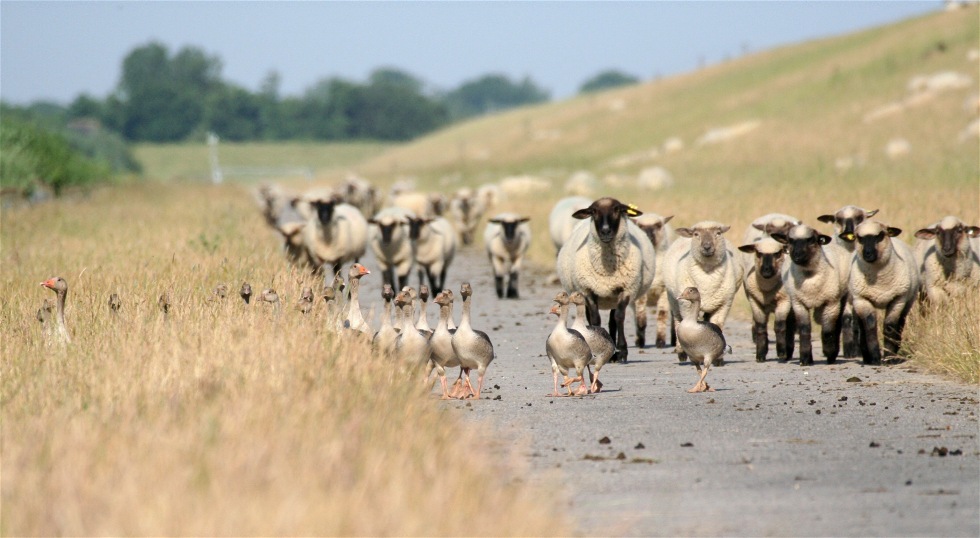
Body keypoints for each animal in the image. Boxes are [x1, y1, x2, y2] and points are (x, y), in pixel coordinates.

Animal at [632, 211, 676, 346]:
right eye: (640, 226)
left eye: (658, 225)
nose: (648, 236)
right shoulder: (641, 292)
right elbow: (640, 314)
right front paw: (641, 330)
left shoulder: (664, 290)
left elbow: (662, 315)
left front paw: (660, 341)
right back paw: (639, 340)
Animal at [660, 218, 744, 360]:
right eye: (696, 234)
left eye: (718, 233)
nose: (707, 247)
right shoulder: (685, 305)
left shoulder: (724, 304)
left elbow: (717, 325)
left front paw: (719, 358)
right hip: (673, 301)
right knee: (678, 322)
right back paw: (680, 352)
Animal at [772, 222, 848, 364]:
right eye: (790, 240)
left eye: (811, 240)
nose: (796, 255)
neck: (809, 276)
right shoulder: (799, 303)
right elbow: (804, 330)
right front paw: (805, 358)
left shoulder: (831, 302)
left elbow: (828, 331)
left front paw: (830, 355)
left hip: (841, 297)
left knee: (837, 324)